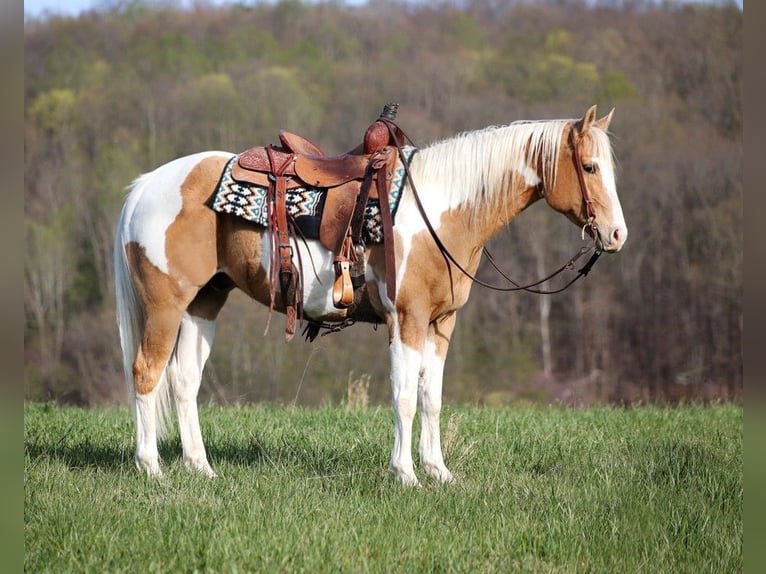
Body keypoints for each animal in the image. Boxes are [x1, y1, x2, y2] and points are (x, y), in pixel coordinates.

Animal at [115, 104, 632, 486]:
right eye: (589, 167)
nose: (616, 235)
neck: (439, 212)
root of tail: (145, 187)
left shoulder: (441, 324)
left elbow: (431, 397)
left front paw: (439, 472)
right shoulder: (407, 319)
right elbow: (404, 396)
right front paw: (406, 474)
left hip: (204, 302)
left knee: (184, 380)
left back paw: (201, 468)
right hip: (165, 305)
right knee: (146, 373)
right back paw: (152, 469)